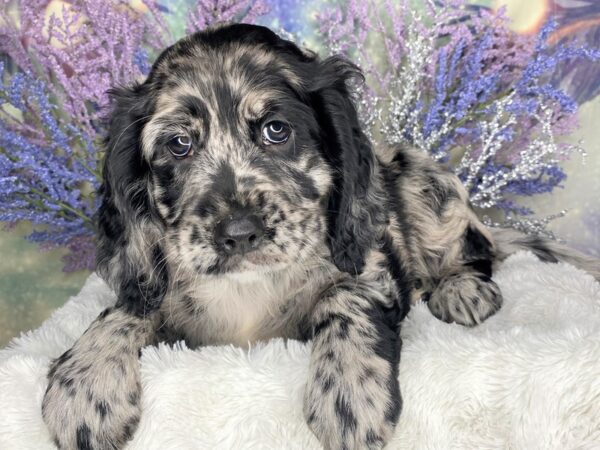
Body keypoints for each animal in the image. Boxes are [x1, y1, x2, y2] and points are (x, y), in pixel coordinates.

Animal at [42, 23, 600, 450]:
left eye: (276, 130)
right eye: (179, 145)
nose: (238, 234)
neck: (250, 286)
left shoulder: (371, 266)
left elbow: (346, 298)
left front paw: (350, 394)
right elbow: (123, 311)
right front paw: (83, 386)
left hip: (423, 177)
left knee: (476, 246)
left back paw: (461, 287)